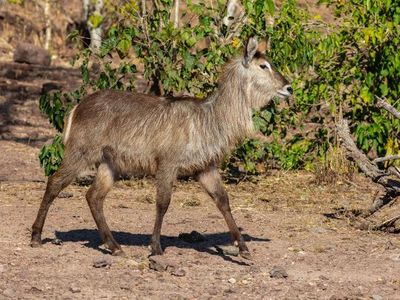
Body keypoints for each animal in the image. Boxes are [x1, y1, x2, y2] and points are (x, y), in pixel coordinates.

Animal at [31, 37, 292, 258]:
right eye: (264, 65)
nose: (289, 87)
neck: (210, 118)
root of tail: (77, 107)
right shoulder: (167, 163)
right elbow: (163, 203)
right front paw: (155, 247)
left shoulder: (205, 168)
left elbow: (223, 201)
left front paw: (243, 248)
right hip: (80, 153)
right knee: (54, 182)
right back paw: (36, 236)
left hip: (109, 163)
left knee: (93, 197)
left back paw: (115, 247)